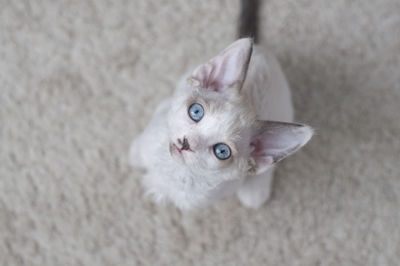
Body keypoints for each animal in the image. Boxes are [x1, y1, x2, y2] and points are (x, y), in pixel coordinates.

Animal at [130, 39, 314, 210]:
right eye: (196, 111)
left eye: (222, 151)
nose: (187, 143)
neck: (171, 169)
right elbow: (137, 153)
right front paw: (134, 157)